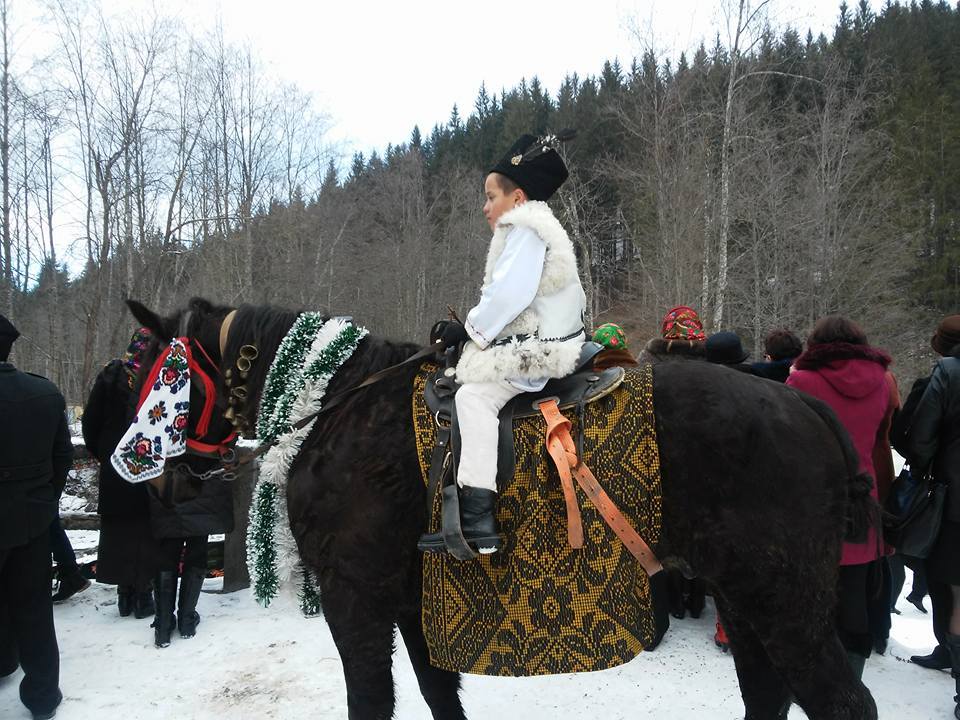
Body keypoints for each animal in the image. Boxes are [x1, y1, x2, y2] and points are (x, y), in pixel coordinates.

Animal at [125, 298, 876, 720]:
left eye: (157, 369)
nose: (149, 473)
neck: (337, 398)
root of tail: (800, 403)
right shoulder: (411, 603)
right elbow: (438, 696)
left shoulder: (354, 594)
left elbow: (372, 700)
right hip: (746, 601)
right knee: (768, 695)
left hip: (786, 603)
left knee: (842, 703)